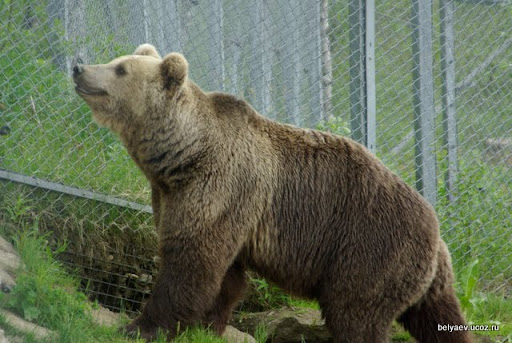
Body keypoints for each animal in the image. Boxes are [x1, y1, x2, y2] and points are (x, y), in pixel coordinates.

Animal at [73, 44, 472, 342]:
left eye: (121, 68)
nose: (79, 67)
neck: (181, 156)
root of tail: (437, 232)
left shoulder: (220, 187)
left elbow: (190, 263)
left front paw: (140, 326)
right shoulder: (198, 201)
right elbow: (227, 278)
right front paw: (207, 326)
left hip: (369, 247)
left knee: (356, 314)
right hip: (426, 278)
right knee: (440, 319)